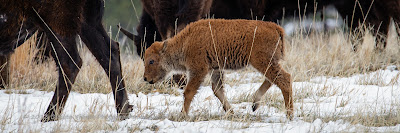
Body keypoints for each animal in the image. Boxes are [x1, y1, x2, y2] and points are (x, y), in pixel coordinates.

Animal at [0, 0, 134, 121]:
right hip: (88, 22)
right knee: (110, 53)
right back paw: (123, 111)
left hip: (56, 23)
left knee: (70, 62)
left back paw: (48, 116)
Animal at [144, 19, 294, 119]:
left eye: (151, 61)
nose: (145, 78)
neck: (185, 42)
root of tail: (275, 28)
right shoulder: (216, 69)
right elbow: (217, 90)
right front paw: (231, 112)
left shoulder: (198, 70)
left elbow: (189, 92)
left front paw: (183, 115)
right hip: (268, 63)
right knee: (273, 79)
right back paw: (254, 105)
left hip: (262, 62)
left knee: (284, 79)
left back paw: (289, 114)